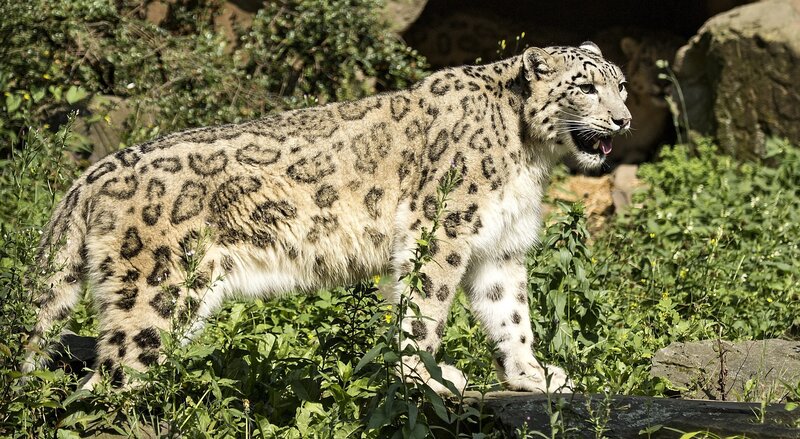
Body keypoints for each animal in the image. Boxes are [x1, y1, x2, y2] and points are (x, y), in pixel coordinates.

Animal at [23, 42, 630, 395]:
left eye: (620, 83)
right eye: (584, 86)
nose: (624, 120)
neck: (529, 156)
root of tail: (93, 173)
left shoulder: (499, 246)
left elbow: (511, 314)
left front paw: (532, 374)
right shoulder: (443, 230)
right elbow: (426, 307)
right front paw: (427, 376)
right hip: (156, 292)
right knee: (109, 379)